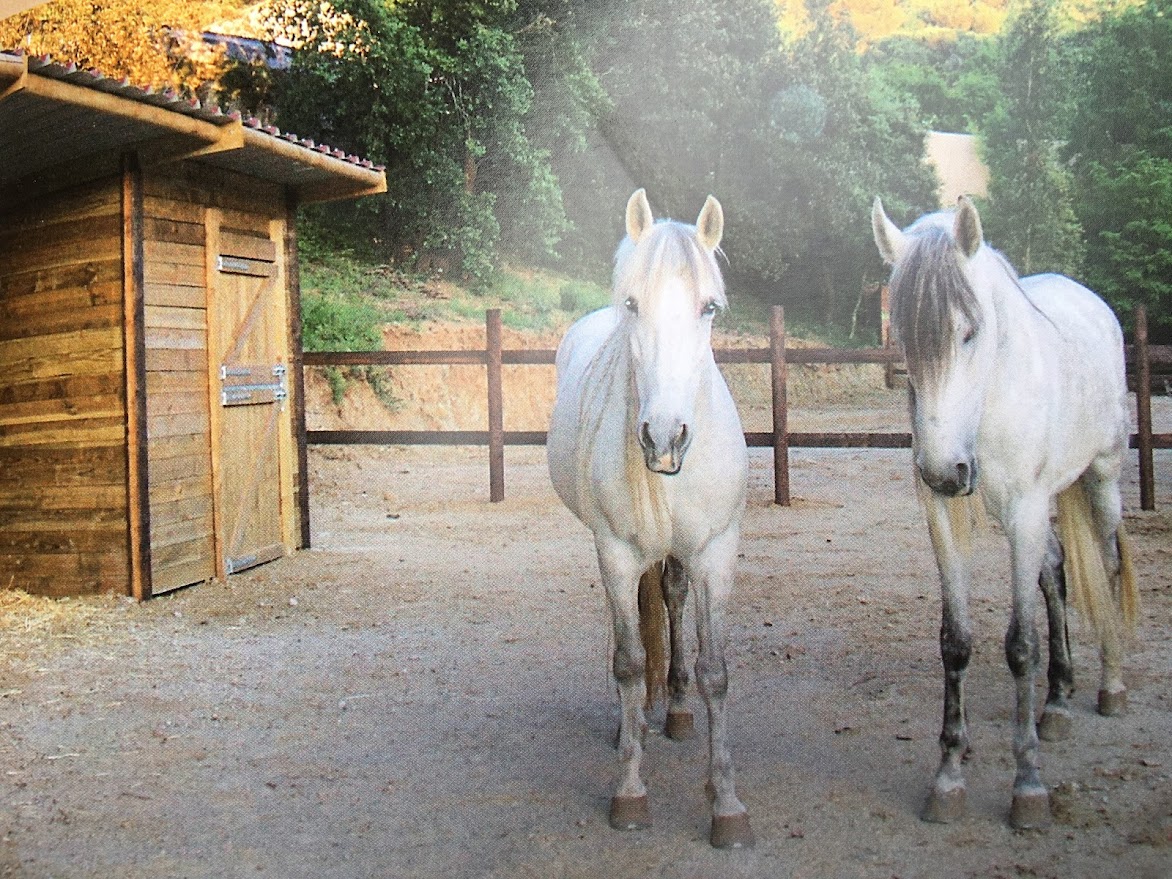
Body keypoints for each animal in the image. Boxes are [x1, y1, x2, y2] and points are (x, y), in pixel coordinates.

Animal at [546, 189, 750, 848]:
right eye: (633, 303)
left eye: (709, 307)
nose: (664, 438)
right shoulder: (614, 550)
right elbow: (630, 662)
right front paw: (629, 790)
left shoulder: (715, 551)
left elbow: (716, 669)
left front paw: (726, 803)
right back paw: (629, 726)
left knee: (673, 596)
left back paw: (678, 710)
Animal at [876, 195, 1139, 829]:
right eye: (907, 340)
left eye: (969, 333)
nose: (944, 470)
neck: (993, 396)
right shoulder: (945, 516)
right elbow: (956, 640)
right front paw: (948, 775)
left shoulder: (1025, 509)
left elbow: (1021, 646)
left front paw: (1028, 785)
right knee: (1055, 570)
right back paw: (1059, 700)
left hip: (1100, 480)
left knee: (1109, 564)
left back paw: (1110, 686)